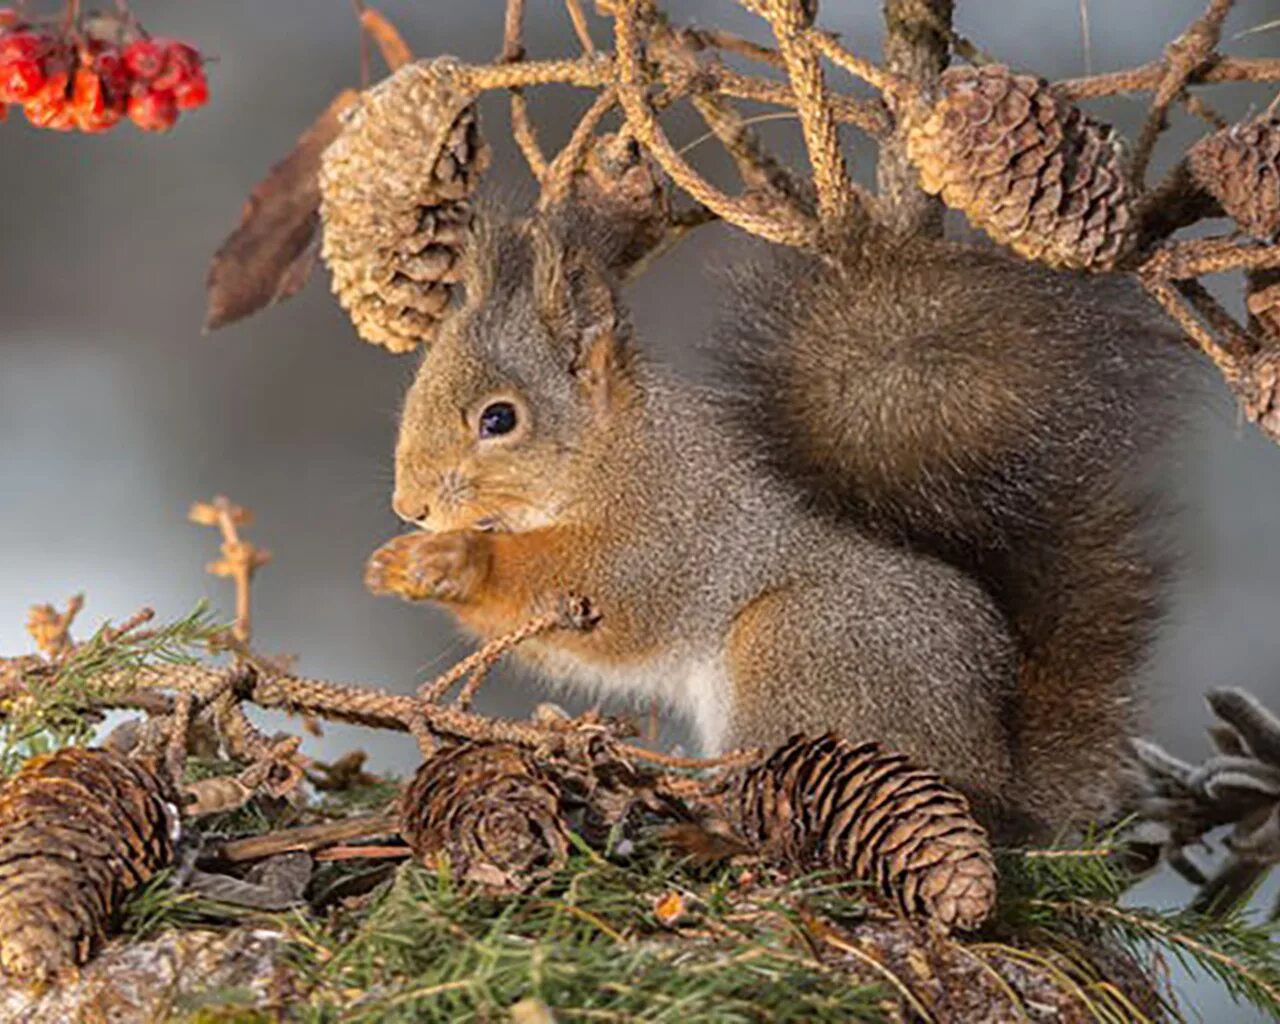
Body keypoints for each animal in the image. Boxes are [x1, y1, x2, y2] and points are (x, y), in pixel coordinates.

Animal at [366, 207, 1182, 839]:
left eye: (499, 419)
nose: (410, 506)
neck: (613, 454)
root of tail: (991, 768)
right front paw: (400, 563)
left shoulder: (667, 533)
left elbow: (602, 605)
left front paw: (456, 561)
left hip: (798, 649)